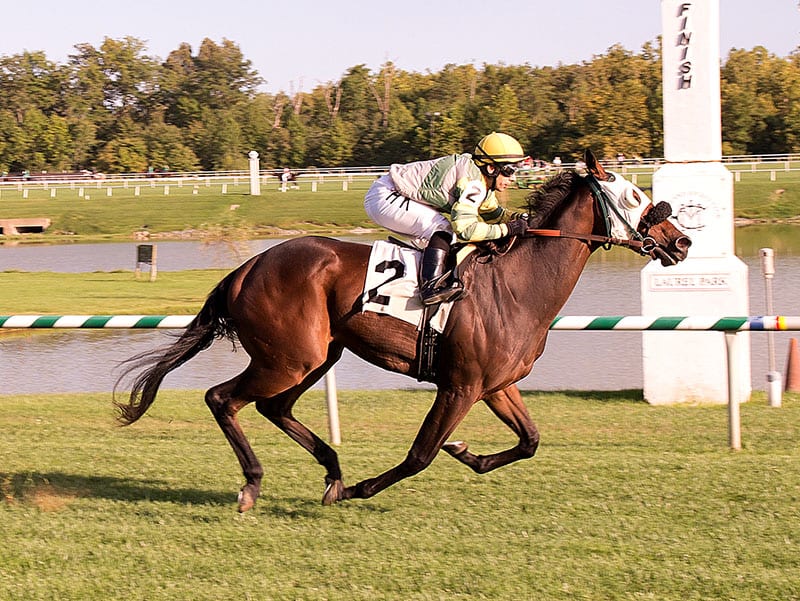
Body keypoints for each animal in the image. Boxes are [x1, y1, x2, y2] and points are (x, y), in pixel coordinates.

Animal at [115, 150, 692, 510]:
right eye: (635, 197)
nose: (681, 241)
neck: (518, 284)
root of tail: (248, 266)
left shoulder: (496, 384)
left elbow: (528, 441)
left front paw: (468, 453)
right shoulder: (459, 385)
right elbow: (420, 455)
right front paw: (365, 488)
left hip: (318, 355)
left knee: (272, 407)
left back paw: (331, 470)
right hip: (289, 357)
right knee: (222, 398)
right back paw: (257, 484)